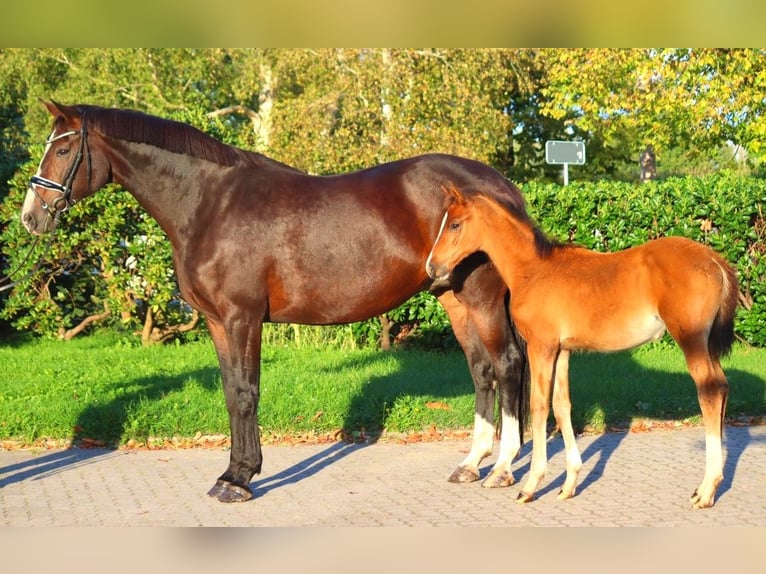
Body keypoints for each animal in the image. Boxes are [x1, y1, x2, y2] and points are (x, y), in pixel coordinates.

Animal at [21, 102, 532, 504]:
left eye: (62, 150)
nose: (30, 217)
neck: (209, 204)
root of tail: (502, 186)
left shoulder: (242, 318)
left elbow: (248, 393)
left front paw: (240, 481)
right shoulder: (217, 322)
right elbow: (231, 394)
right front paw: (231, 473)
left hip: (481, 297)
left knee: (506, 364)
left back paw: (503, 469)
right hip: (453, 297)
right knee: (481, 370)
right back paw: (471, 464)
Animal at [428, 183, 740, 508]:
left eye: (455, 224)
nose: (432, 267)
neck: (533, 270)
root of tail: (715, 260)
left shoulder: (541, 347)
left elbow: (539, 406)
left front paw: (530, 486)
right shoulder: (563, 351)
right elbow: (562, 406)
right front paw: (568, 484)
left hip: (691, 340)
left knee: (709, 392)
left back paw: (706, 490)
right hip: (707, 345)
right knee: (722, 387)